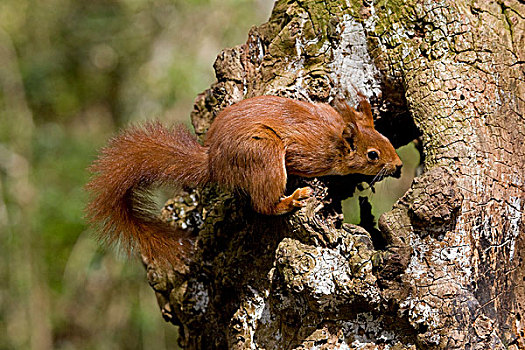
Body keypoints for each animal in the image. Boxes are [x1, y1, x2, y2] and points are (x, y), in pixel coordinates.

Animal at [87, 95, 402, 266]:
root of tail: (214, 162)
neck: (334, 137)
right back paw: (292, 200)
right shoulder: (306, 154)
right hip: (264, 154)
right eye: (373, 155)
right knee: (263, 204)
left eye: (388, 139)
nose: (399, 166)